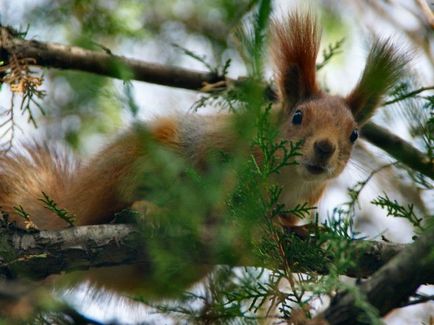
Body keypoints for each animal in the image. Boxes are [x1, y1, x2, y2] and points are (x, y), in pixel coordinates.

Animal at [0, 11, 406, 292]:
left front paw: (303, 230)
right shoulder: (232, 161)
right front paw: (259, 226)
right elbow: (224, 201)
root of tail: (74, 203)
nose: (324, 147)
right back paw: (146, 211)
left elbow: (289, 219)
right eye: (298, 116)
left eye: (354, 134)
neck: (290, 176)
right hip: (139, 159)